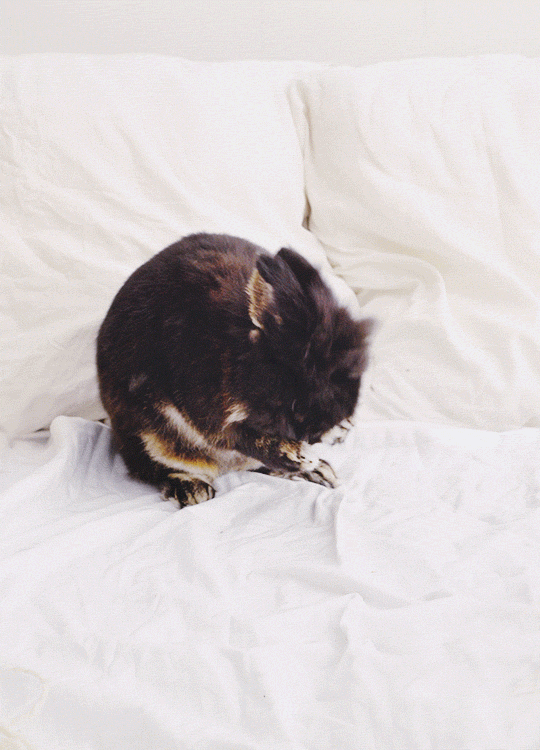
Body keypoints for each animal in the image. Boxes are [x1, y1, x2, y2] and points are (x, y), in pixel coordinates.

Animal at [97, 233, 371, 508]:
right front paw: (298, 455)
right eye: (301, 384)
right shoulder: (213, 417)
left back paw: (320, 472)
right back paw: (193, 491)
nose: (332, 428)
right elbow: (245, 438)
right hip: (148, 438)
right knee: (158, 469)